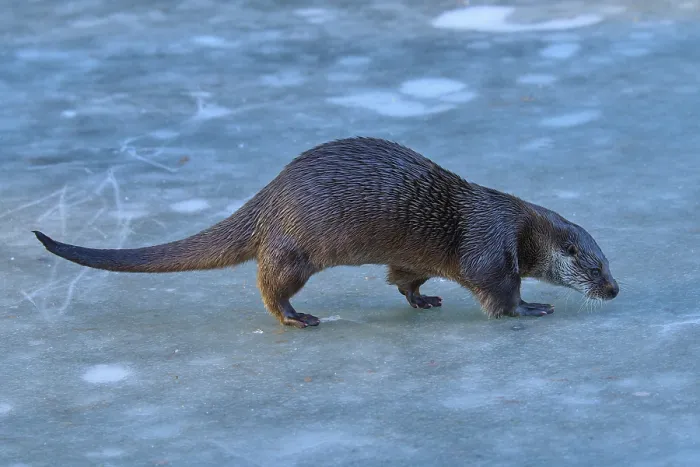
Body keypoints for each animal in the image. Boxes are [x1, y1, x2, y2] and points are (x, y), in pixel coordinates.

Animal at [33, 137, 618, 328]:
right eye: (593, 265)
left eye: (610, 262)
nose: (613, 289)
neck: (518, 228)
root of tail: (270, 196)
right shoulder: (491, 249)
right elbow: (500, 294)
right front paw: (533, 307)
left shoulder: (416, 258)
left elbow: (403, 276)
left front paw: (420, 299)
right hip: (295, 248)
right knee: (270, 284)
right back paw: (297, 318)